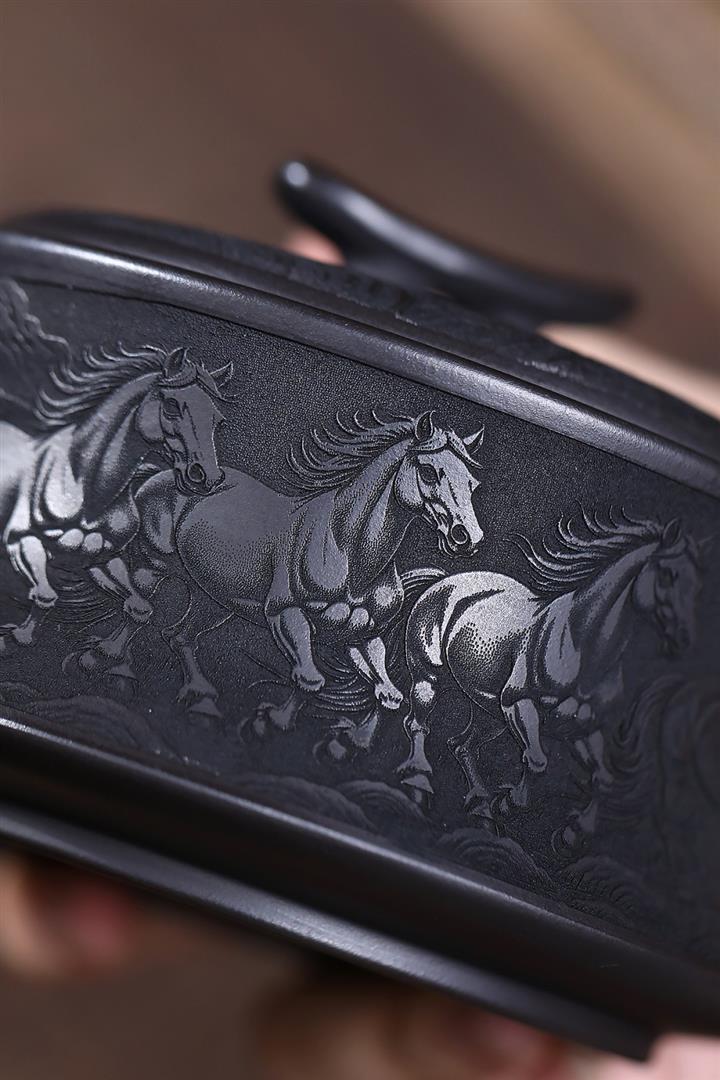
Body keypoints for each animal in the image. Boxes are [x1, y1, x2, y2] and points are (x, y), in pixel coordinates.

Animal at [0, 340, 231, 656]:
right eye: (172, 406)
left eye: (217, 420)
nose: (206, 477)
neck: (87, 493)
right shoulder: (22, 542)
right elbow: (45, 596)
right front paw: (18, 636)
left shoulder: (101, 561)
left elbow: (140, 608)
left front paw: (107, 652)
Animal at [84, 410, 486, 722]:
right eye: (430, 471)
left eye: (472, 482)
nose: (467, 537)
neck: (349, 554)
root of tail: (162, 476)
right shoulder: (285, 614)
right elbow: (309, 679)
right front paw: (271, 722)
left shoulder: (361, 636)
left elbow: (387, 693)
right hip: (153, 562)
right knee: (137, 606)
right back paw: (106, 657)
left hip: (214, 599)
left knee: (180, 635)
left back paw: (200, 696)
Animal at [399, 510, 702, 844]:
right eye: (668, 575)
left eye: (697, 584)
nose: (684, 639)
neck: (579, 648)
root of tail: (443, 581)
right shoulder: (518, 704)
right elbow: (537, 761)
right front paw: (508, 803)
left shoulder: (581, 727)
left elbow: (603, 779)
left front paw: (573, 833)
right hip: (428, 677)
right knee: (417, 722)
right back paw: (418, 784)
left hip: (488, 714)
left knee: (462, 745)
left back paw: (481, 810)